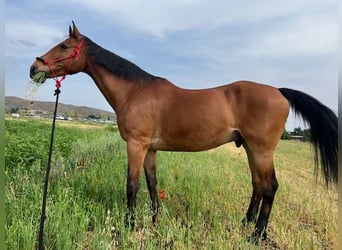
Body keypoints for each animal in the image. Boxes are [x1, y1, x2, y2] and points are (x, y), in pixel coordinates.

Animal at [29, 22, 336, 242]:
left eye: (64, 45)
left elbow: (132, 186)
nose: (34, 67)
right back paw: (245, 223)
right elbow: (152, 183)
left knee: (270, 186)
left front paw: (128, 225)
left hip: (261, 150)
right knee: (258, 185)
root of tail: (279, 92)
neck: (136, 91)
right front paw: (154, 220)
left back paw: (256, 235)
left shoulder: (136, 145)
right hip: (250, 148)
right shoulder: (150, 148)